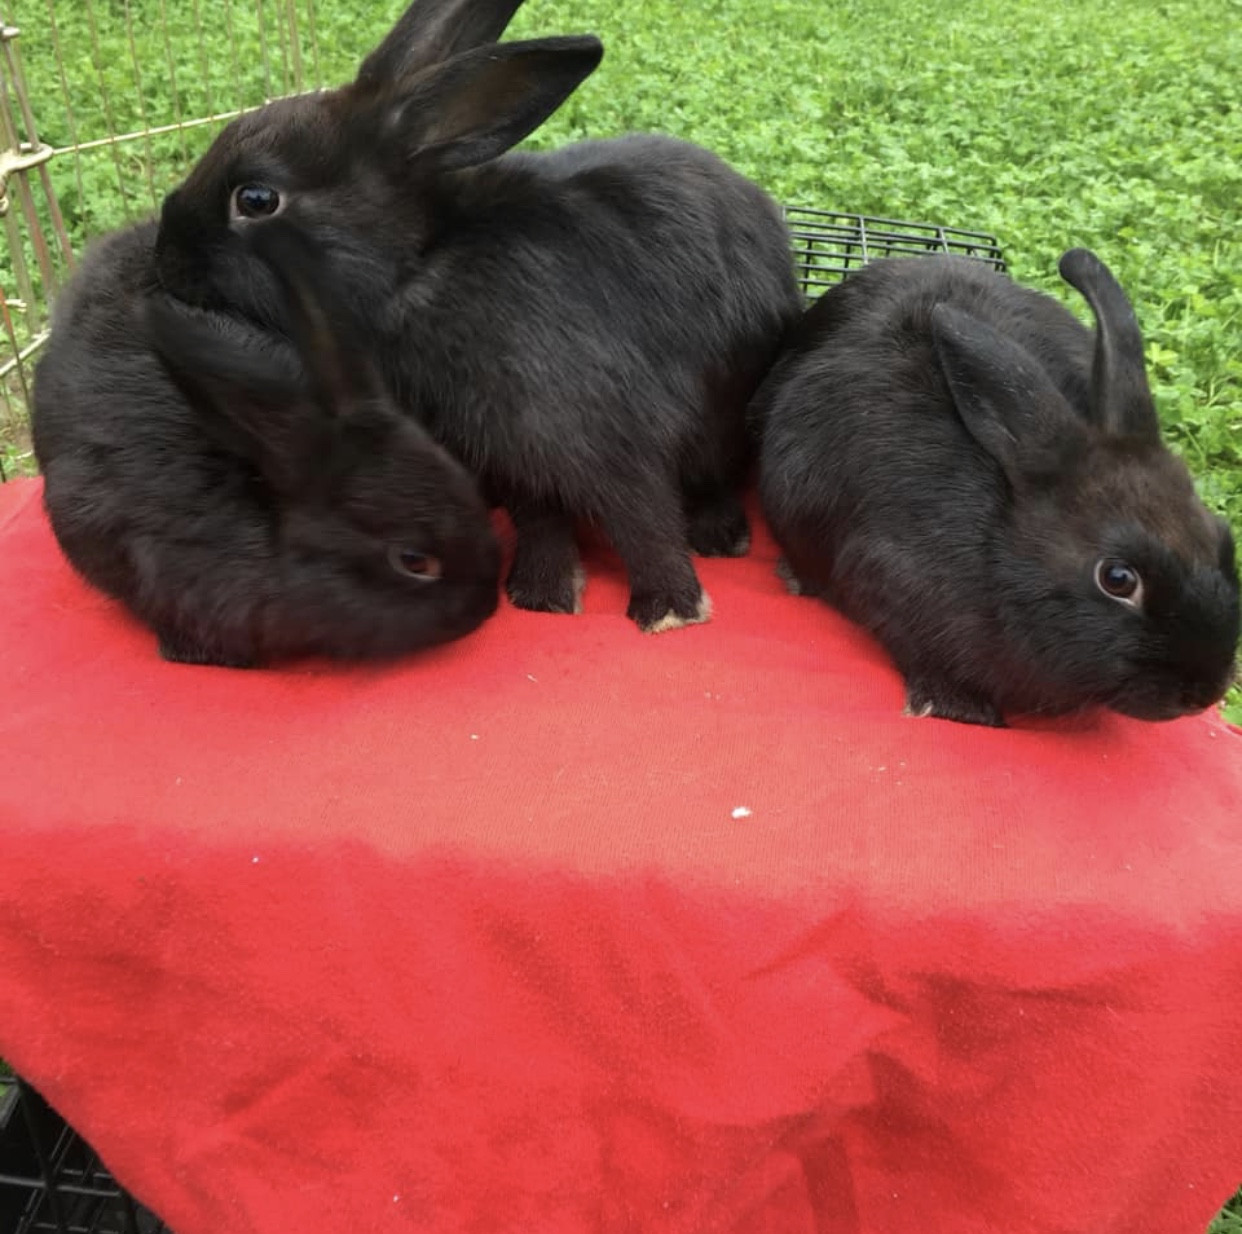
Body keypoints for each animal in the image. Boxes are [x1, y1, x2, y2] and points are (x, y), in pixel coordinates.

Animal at [151, 0, 804, 634]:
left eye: (256, 199)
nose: (163, 260)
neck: (418, 266)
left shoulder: (597, 434)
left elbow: (639, 516)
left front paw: (670, 611)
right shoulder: (512, 458)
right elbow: (540, 520)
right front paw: (541, 596)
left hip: (724, 411)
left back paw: (720, 537)